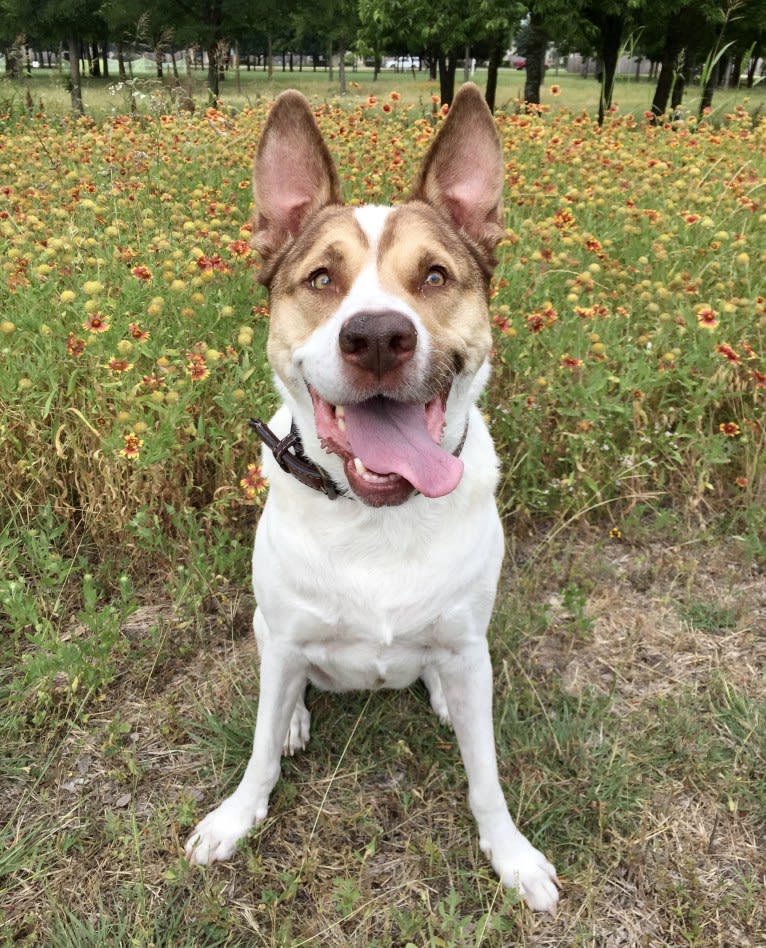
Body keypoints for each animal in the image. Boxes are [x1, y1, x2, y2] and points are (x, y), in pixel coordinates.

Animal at [184, 85, 560, 916]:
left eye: (436, 276)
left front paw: (511, 853)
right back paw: (296, 717)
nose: (379, 337)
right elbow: (258, 748)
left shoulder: (467, 640)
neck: (376, 516)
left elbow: (487, 777)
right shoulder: (284, 635)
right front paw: (237, 815)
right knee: (281, 686)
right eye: (322, 279)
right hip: (265, 625)